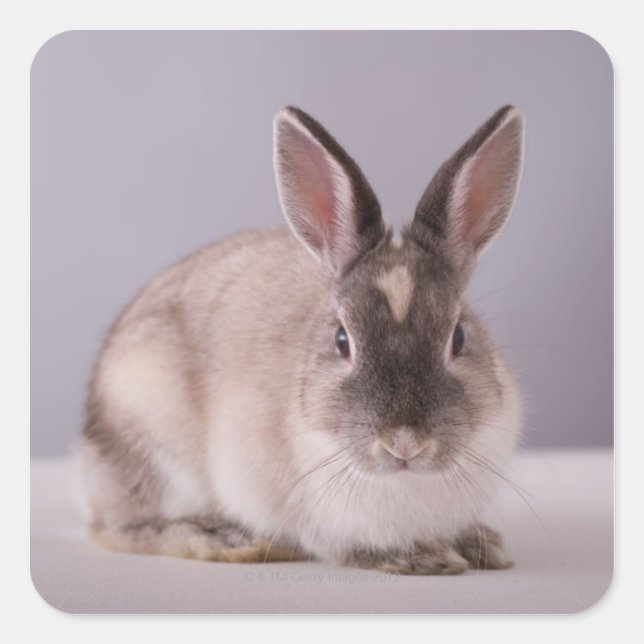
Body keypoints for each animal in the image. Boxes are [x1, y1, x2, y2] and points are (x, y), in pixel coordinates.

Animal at [82, 104, 525, 575]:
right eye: (342, 340)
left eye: (458, 337)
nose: (404, 443)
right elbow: (346, 547)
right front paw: (425, 557)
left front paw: (482, 545)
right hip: (152, 442)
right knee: (120, 528)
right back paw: (226, 539)